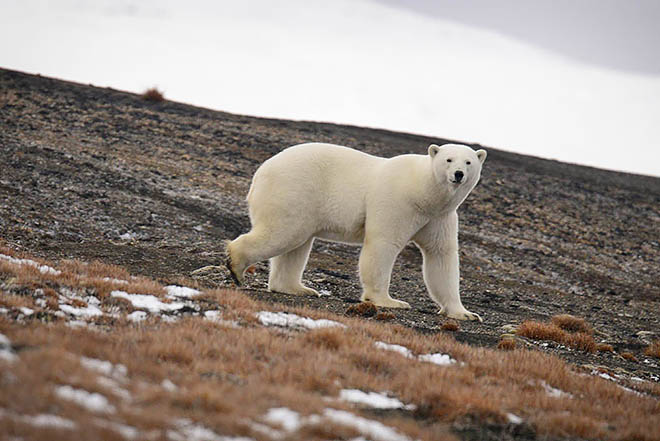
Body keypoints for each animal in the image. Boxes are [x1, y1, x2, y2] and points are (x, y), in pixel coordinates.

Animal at [224, 144, 488, 320]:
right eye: (449, 159)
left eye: (468, 162)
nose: (458, 175)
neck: (423, 192)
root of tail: (260, 172)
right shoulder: (397, 202)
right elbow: (383, 244)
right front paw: (390, 301)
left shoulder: (439, 217)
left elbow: (441, 256)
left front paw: (465, 313)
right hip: (293, 190)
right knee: (282, 233)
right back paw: (236, 264)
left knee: (296, 244)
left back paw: (297, 288)